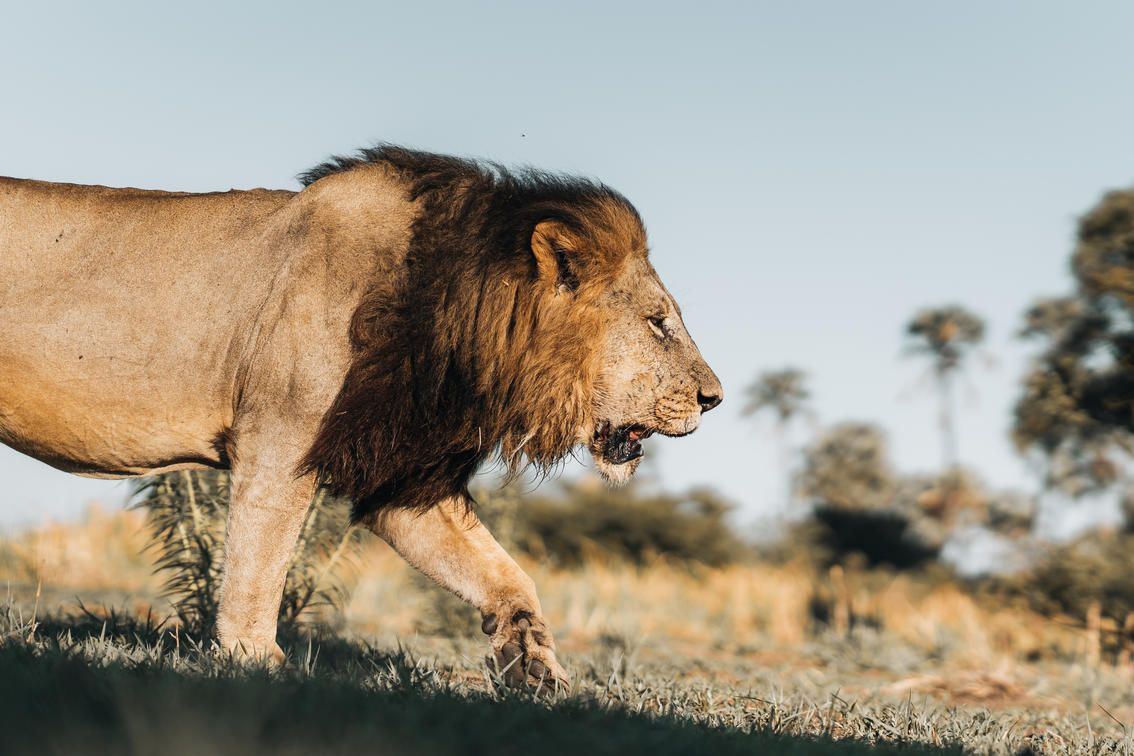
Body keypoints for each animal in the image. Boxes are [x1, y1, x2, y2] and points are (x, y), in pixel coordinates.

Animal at [0, 145, 722, 687]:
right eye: (658, 323)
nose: (713, 398)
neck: (458, 330)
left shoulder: (402, 477)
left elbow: (505, 573)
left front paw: (533, 666)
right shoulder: (278, 443)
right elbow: (259, 562)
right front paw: (254, 660)